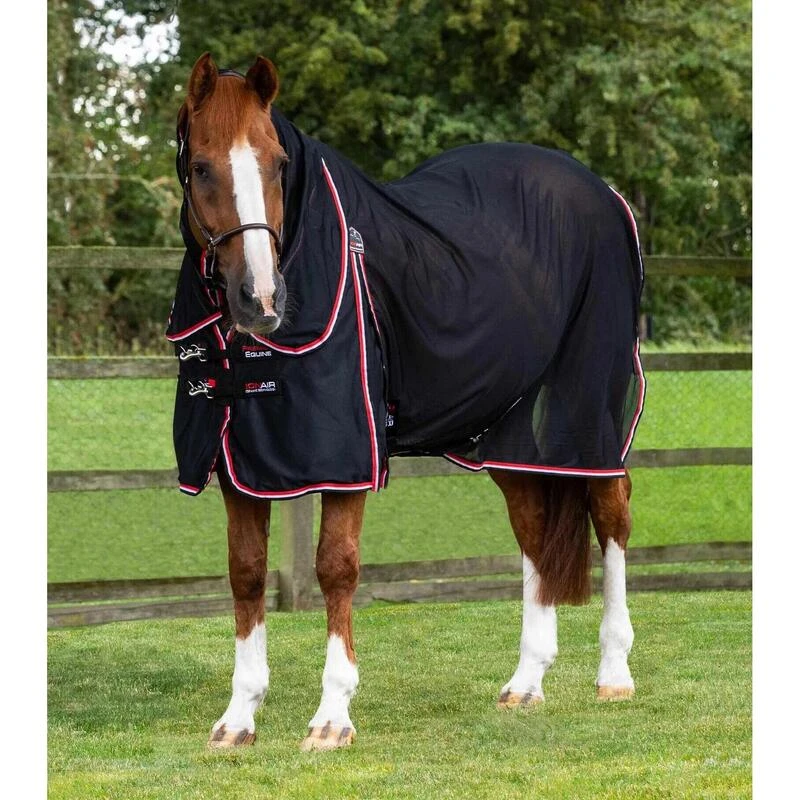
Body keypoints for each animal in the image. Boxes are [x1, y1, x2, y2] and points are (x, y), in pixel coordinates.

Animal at [168, 52, 645, 752]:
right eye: (201, 166)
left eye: (278, 163)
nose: (261, 299)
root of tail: (606, 194)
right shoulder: (242, 463)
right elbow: (247, 571)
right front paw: (238, 718)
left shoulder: (346, 456)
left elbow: (336, 568)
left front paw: (332, 717)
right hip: (509, 434)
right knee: (533, 528)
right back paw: (526, 682)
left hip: (589, 414)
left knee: (612, 516)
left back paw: (614, 674)